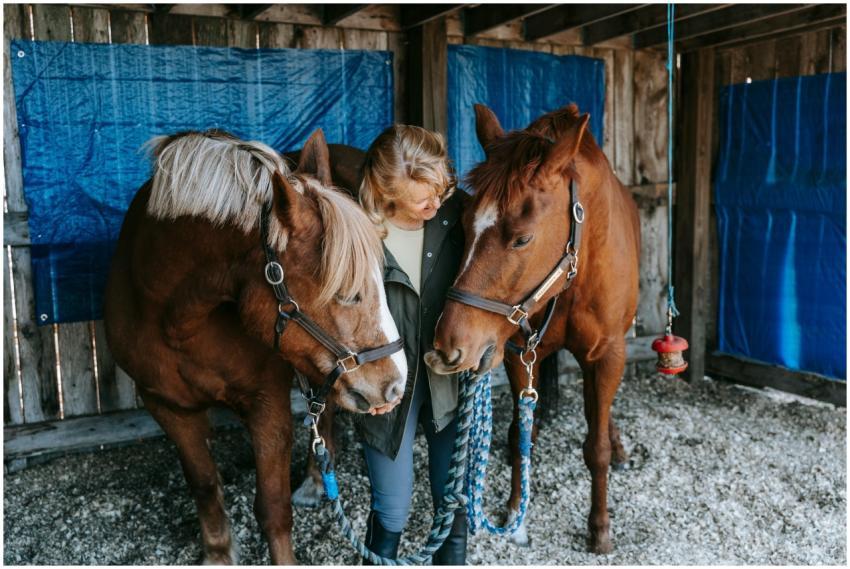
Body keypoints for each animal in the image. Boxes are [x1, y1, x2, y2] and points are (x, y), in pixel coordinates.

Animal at [103, 128, 408, 564]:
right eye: (346, 291)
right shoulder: (167, 406)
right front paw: (217, 552)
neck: (177, 321)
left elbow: (272, 507)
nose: (396, 384)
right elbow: (203, 484)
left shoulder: (266, 403)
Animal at [425, 103, 640, 553]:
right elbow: (521, 436)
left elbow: (595, 448)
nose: (450, 345)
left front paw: (600, 528)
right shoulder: (519, 354)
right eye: (463, 225)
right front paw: (514, 514)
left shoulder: (608, 354)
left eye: (522, 239)